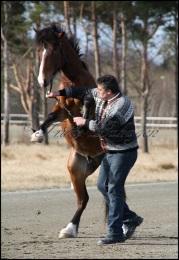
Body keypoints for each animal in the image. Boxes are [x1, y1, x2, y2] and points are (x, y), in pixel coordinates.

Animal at [32, 23, 104, 238]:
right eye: (39, 50)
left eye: (55, 48)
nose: (42, 81)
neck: (74, 81)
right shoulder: (62, 110)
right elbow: (50, 117)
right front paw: (37, 135)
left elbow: (88, 107)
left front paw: (81, 125)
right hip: (75, 167)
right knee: (82, 198)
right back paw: (69, 228)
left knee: (91, 197)